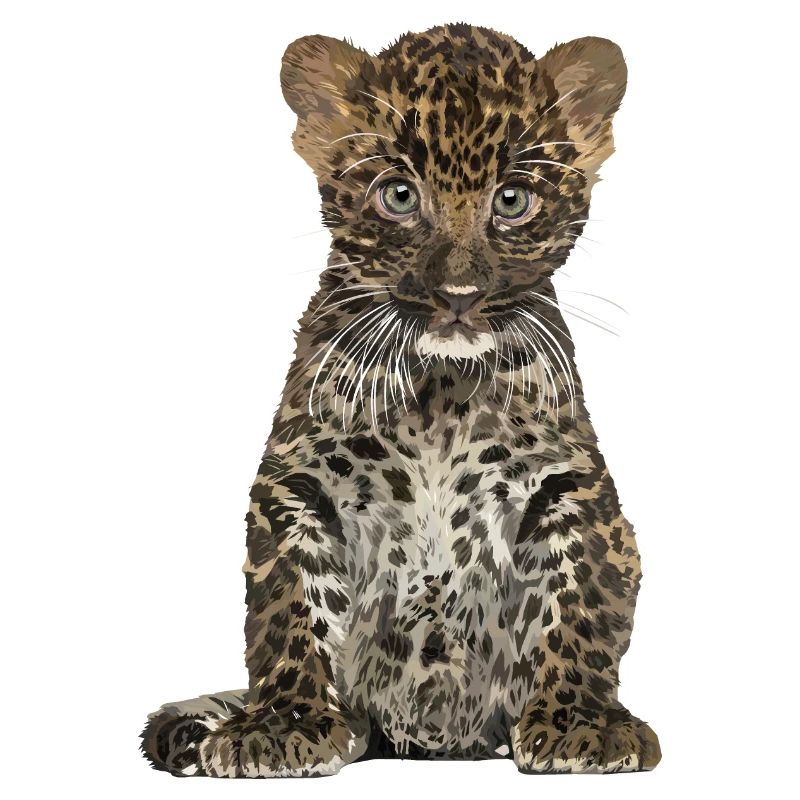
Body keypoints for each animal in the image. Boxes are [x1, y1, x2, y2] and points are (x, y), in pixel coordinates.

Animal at [141, 23, 661, 777]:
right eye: (398, 196)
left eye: (512, 200)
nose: (458, 294)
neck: (440, 391)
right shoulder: (298, 483)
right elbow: (289, 604)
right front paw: (283, 724)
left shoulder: (570, 485)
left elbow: (582, 600)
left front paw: (581, 723)